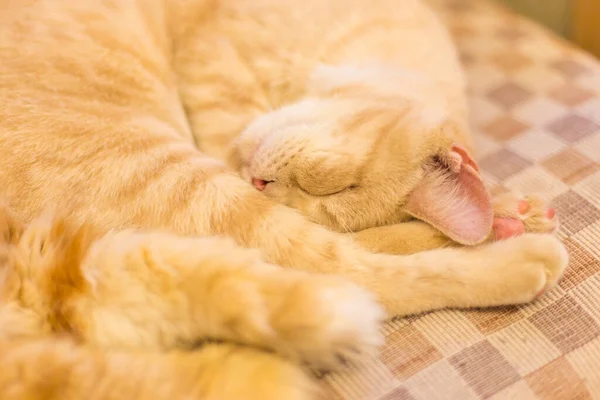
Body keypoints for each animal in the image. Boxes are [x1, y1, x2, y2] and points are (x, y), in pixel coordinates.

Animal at [0, 0, 568, 396]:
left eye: (328, 195)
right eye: (339, 184)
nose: (262, 184)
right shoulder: (217, 70)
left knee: (348, 269)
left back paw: (512, 231)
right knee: (347, 271)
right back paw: (513, 233)